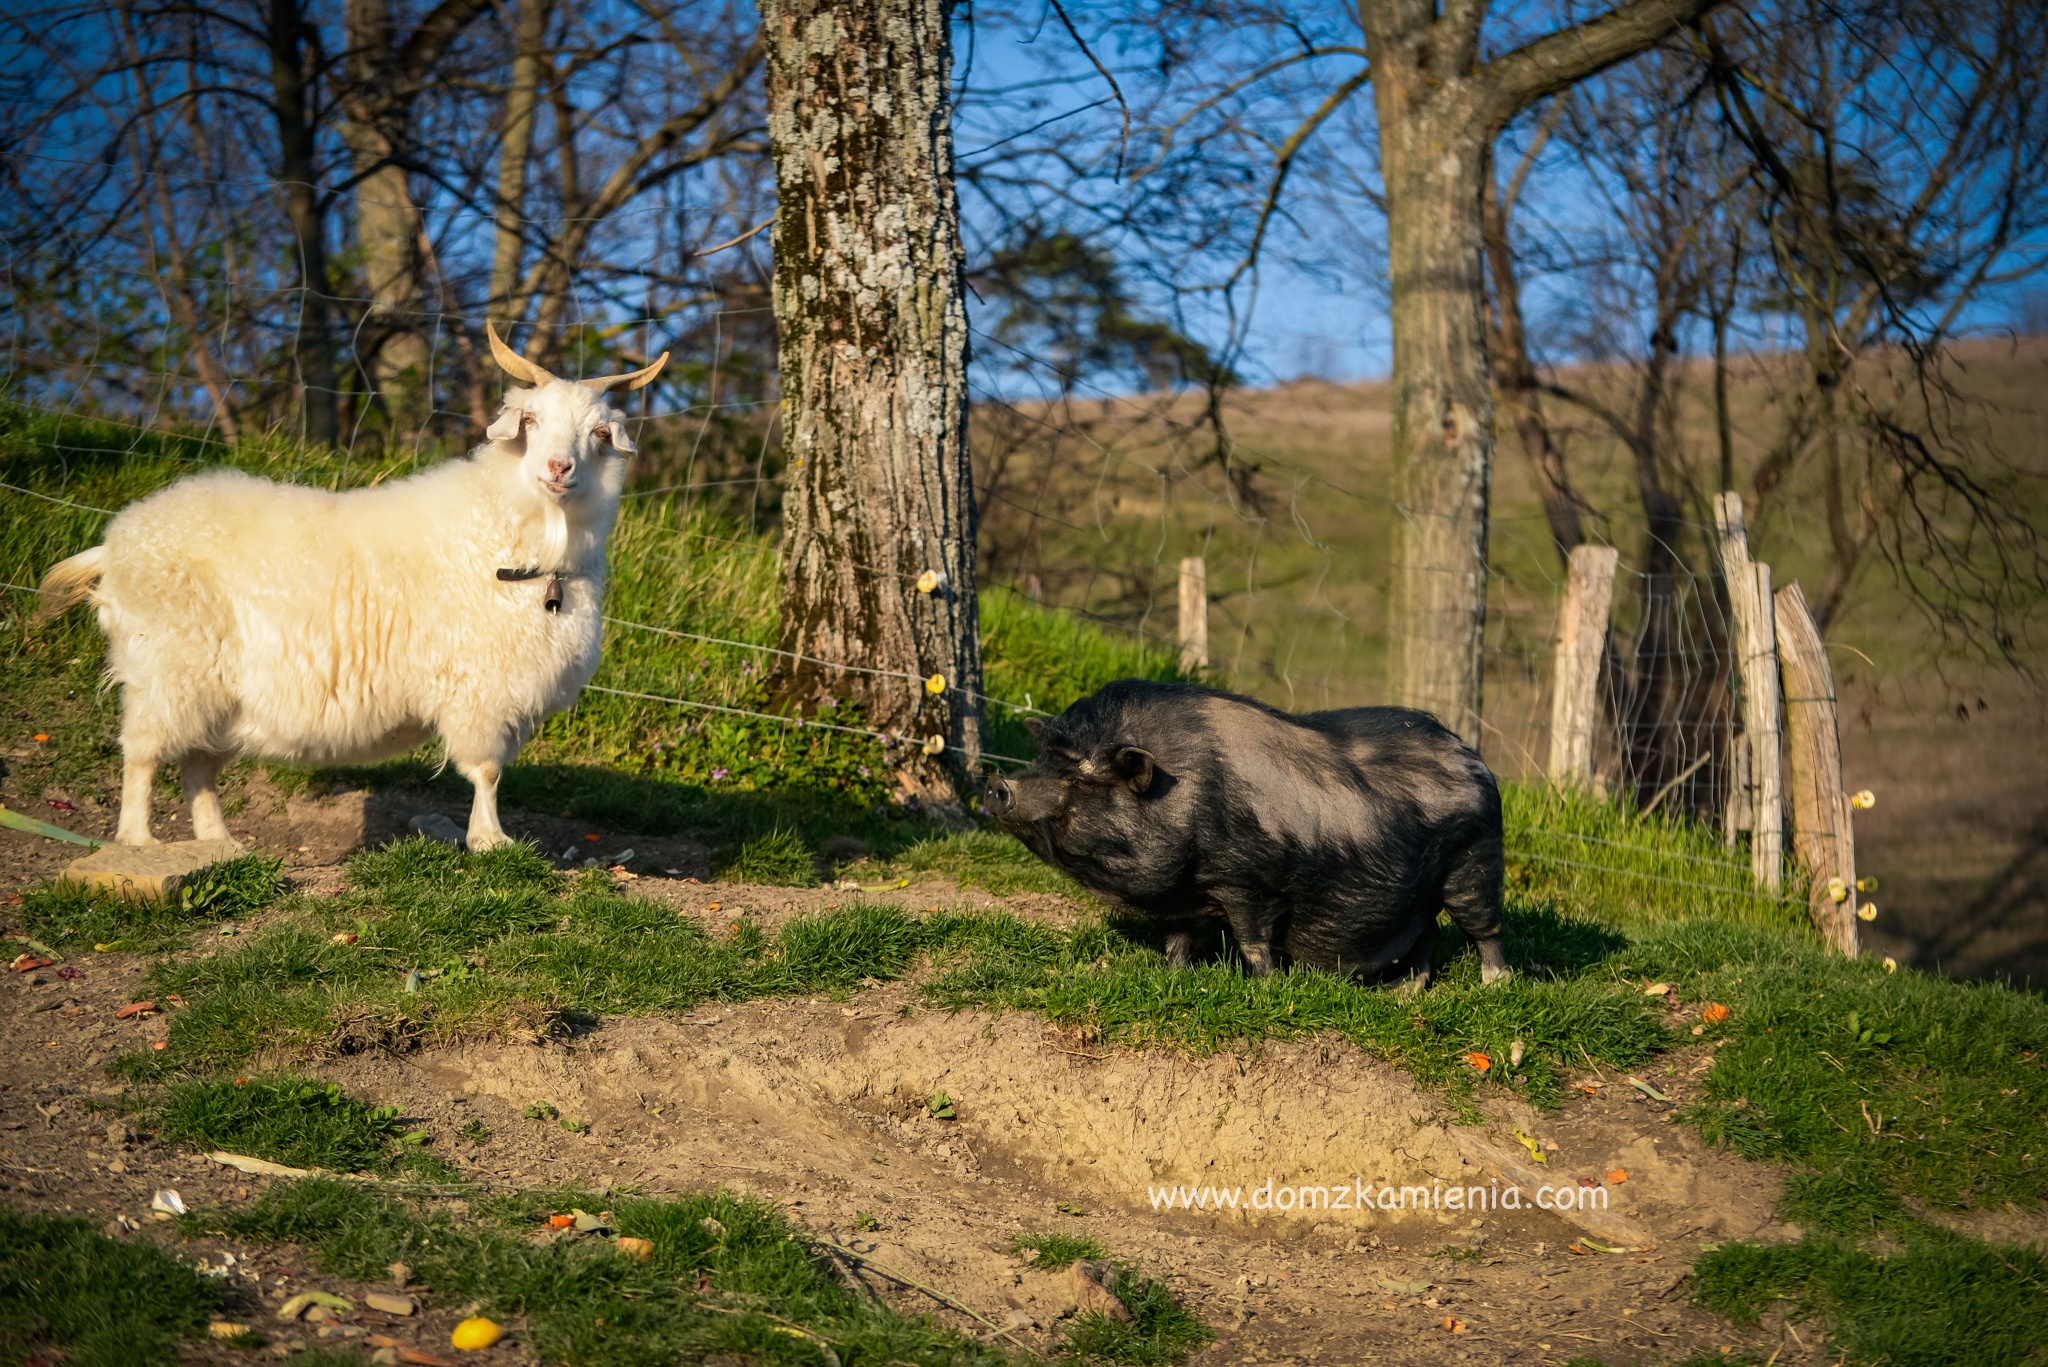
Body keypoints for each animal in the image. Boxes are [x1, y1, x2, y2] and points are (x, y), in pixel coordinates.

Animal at [39, 325, 667, 848]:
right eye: (530, 421)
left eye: (599, 432)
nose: (559, 468)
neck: (509, 534)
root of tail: (118, 541)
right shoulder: (477, 690)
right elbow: (486, 770)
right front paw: (491, 842)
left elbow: (493, 769)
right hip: (166, 670)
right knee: (142, 755)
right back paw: (139, 841)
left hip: (211, 691)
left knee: (197, 764)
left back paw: (219, 842)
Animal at [983, 680, 1515, 987]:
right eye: (1043, 761)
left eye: (1084, 780)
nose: (997, 784)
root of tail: (1473, 758)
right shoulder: (1180, 893)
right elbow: (1177, 938)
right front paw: (1171, 976)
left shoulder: (1250, 883)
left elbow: (1253, 941)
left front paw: (1265, 987)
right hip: (1426, 892)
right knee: (1427, 935)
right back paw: (1406, 995)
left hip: (1475, 861)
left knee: (1484, 931)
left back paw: (1494, 986)